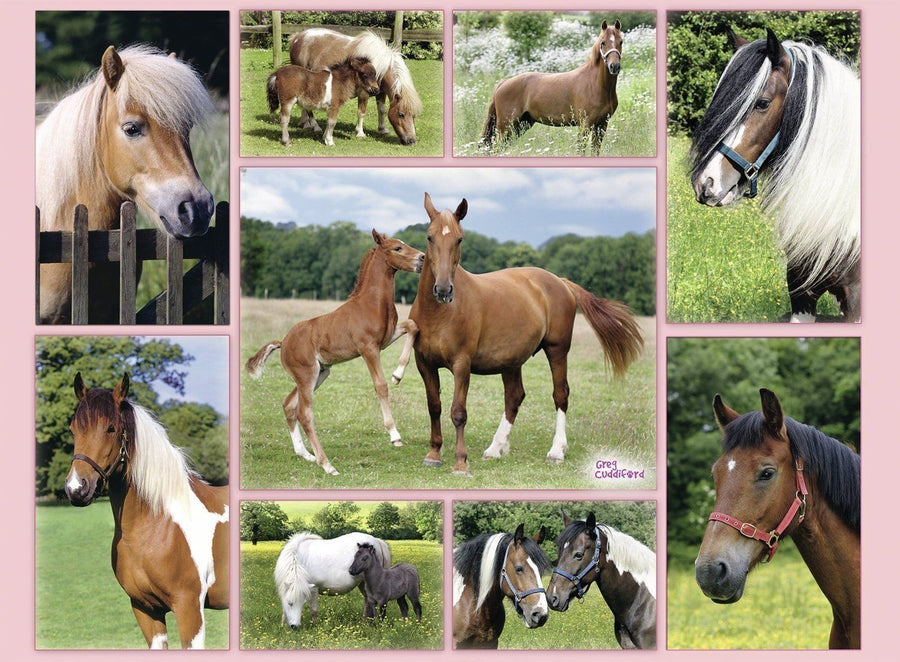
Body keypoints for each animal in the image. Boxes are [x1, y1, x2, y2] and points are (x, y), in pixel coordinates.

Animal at [245, 230, 424, 476]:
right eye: (397, 248)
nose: (423, 258)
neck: (371, 303)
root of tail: (284, 342)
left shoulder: (387, 339)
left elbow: (413, 326)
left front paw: (398, 374)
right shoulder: (369, 348)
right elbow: (381, 385)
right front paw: (394, 434)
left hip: (320, 373)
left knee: (289, 405)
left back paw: (306, 454)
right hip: (307, 375)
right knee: (304, 413)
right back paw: (327, 465)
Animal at [289, 28, 422, 145]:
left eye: (414, 116)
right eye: (401, 114)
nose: (411, 141)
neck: (380, 65)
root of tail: (298, 37)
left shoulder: (380, 92)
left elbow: (382, 110)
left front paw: (382, 129)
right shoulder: (364, 93)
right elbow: (361, 112)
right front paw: (360, 133)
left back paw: (305, 123)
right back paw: (314, 126)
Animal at [391, 194, 643, 475]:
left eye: (459, 239)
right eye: (429, 237)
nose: (443, 290)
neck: (440, 313)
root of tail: (561, 282)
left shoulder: (461, 365)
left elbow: (458, 412)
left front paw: (460, 462)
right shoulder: (424, 363)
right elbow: (434, 406)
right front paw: (434, 453)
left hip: (557, 350)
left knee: (560, 394)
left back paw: (556, 450)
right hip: (511, 361)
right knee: (514, 397)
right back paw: (495, 448)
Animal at [480, 20, 622, 155]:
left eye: (621, 42)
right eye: (603, 43)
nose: (614, 66)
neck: (595, 85)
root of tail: (503, 83)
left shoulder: (601, 125)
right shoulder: (585, 125)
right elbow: (580, 151)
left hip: (520, 126)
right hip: (506, 127)